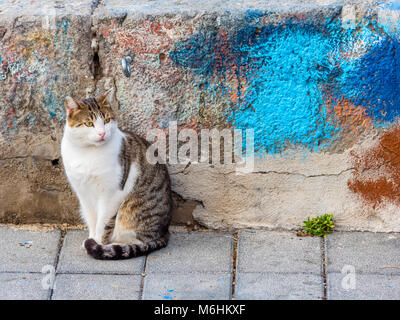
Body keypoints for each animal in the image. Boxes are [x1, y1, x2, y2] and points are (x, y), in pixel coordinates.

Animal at [60, 90, 172, 260]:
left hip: (133, 211)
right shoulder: (83, 194)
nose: (102, 133)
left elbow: (103, 224)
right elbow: (92, 220)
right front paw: (91, 238)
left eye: (106, 120)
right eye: (88, 124)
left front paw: (97, 244)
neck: (88, 152)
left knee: (140, 240)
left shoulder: (111, 194)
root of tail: (166, 230)